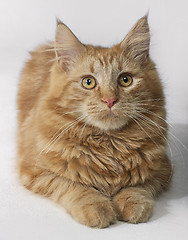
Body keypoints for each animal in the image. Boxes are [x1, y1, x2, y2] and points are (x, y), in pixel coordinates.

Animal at [16, 15, 173, 228]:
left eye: (125, 80)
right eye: (88, 82)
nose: (110, 100)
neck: (109, 144)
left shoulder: (162, 170)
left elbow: (138, 186)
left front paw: (134, 204)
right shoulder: (34, 170)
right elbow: (73, 185)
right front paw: (96, 207)